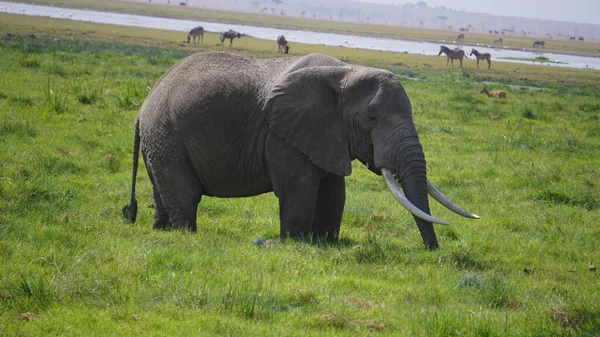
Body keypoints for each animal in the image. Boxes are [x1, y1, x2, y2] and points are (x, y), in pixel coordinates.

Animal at [122, 51, 478, 248]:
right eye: (372, 119)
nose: (433, 252)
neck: (346, 70)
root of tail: (143, 107)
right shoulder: (282, 134)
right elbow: (300, 188)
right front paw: (296, 244)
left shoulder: (325, 135)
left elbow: (334, 191)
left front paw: (326, 244)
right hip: (167, 133)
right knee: (185, 194)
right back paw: (187, 236)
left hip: (161, 137)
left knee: (162, 191)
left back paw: (161, 231)